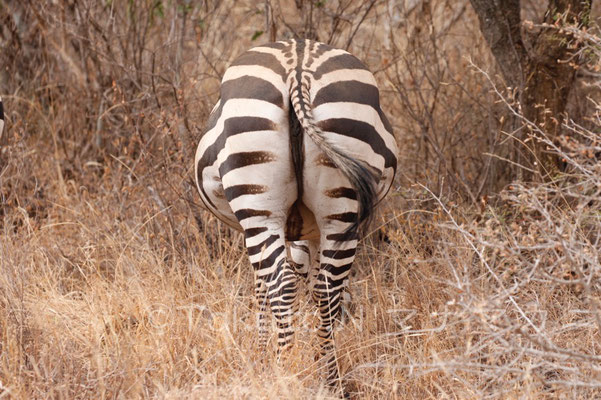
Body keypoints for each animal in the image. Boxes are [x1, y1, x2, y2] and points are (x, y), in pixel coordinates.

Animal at [195, 39, 396, 392]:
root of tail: (298, 66)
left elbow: (261, 291)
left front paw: (261, 359)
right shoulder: (312, 233)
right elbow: (313, 286)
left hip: (259, 206)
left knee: (282, 285)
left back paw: (282, 372)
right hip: (341, 205)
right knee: (327, 292)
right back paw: (330, 380)